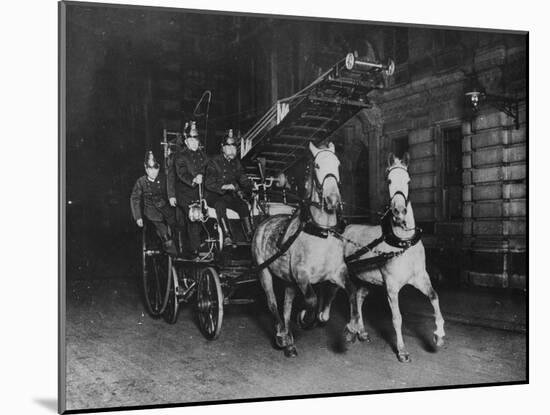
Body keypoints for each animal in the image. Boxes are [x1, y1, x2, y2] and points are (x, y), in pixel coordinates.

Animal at [338, 154, 446, 362]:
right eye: (388, 180)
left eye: (408, 180)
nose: (399, 211)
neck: (403, 243)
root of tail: (345, 229)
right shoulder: (392, 287)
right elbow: (397, 318)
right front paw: (402, 350)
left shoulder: (421, 277)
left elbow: (434, 297)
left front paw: (439, 335)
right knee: (349, 297)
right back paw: (349, 329)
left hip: (367, 279)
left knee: (359, 297)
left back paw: (361, 331)